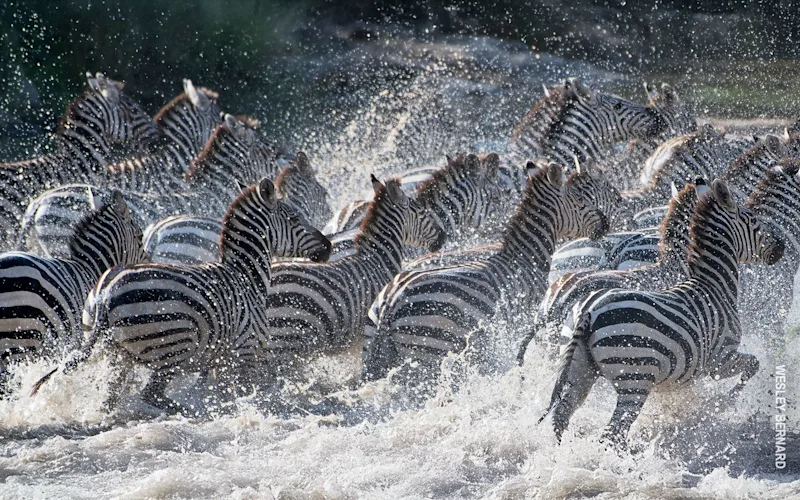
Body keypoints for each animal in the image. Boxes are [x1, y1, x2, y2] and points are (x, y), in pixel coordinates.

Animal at [30, 178, 332, 411]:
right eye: (294, 218)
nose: (328, 247)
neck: (246, 276)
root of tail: (106, 294)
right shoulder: (244, 353)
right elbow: (251, 393)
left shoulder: (222, 360)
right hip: (173, 347)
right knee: (153, 395)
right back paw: (191, 412)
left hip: (115, 357)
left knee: (111, 401)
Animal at [361, 164, 609, 383]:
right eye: (580, 201)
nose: (606, 224)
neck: (524, 258)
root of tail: (391, 300)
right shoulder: (523, 321)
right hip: (429, 351)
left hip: (375, 345)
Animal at [541, 179, 784, 445]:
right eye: (752, 219)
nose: (780, 248)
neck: (713, 284)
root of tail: (589, 311)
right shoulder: (720, 358)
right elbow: (753, 366)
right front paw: (724, 403)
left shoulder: (686, 373)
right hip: (634, 379)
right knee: (613, 432)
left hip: (578, 369)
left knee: (562, 414)